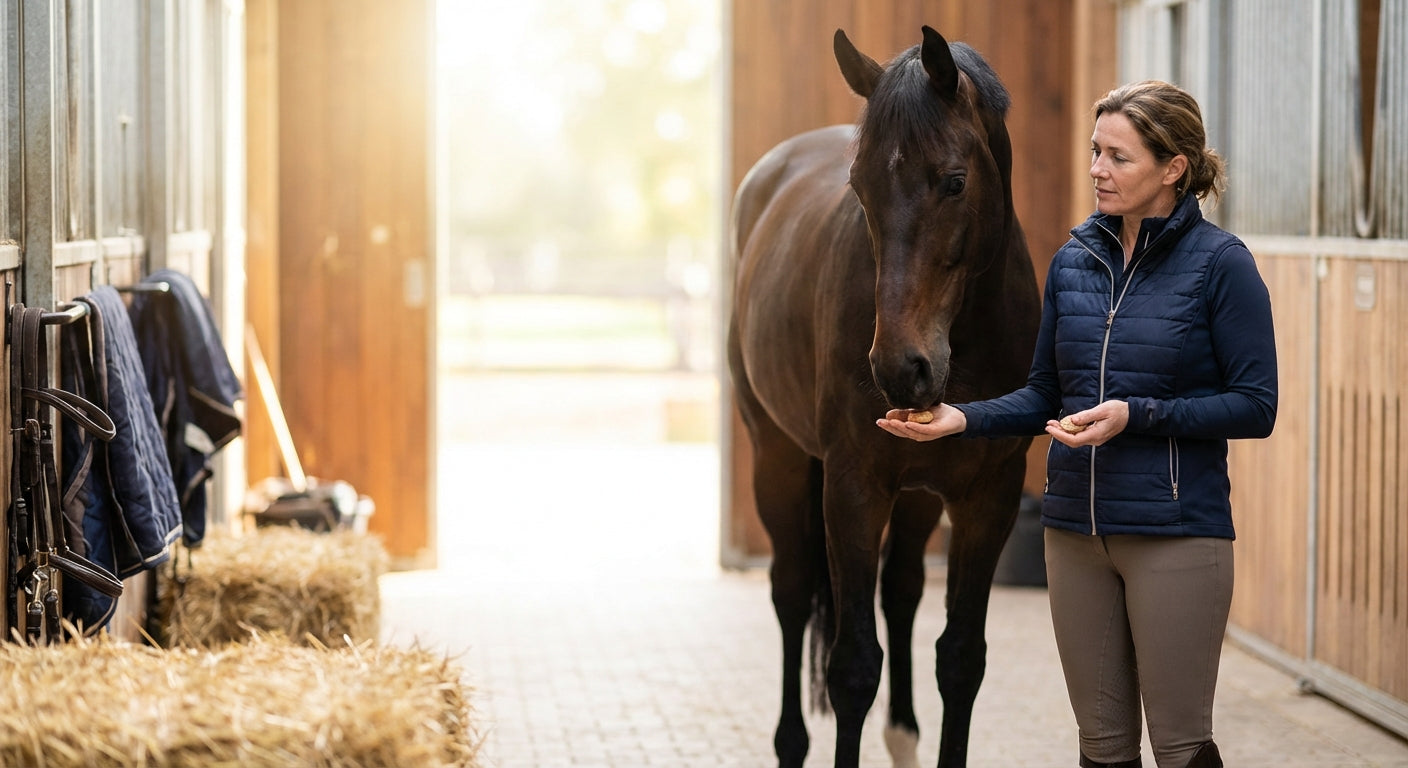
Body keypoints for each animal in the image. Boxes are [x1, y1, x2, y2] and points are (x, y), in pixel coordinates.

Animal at [726, 27, 1041, 768]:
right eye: (860, 187)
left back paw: (903, 736)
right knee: (791, 593)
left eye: (955, 181)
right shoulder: (854, 486)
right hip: (778, 459)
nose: (902, 370)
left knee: (900, 592)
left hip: (921, 494)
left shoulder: (989, 496)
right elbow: (851, 667)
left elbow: (960, 658)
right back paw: (790, 743)